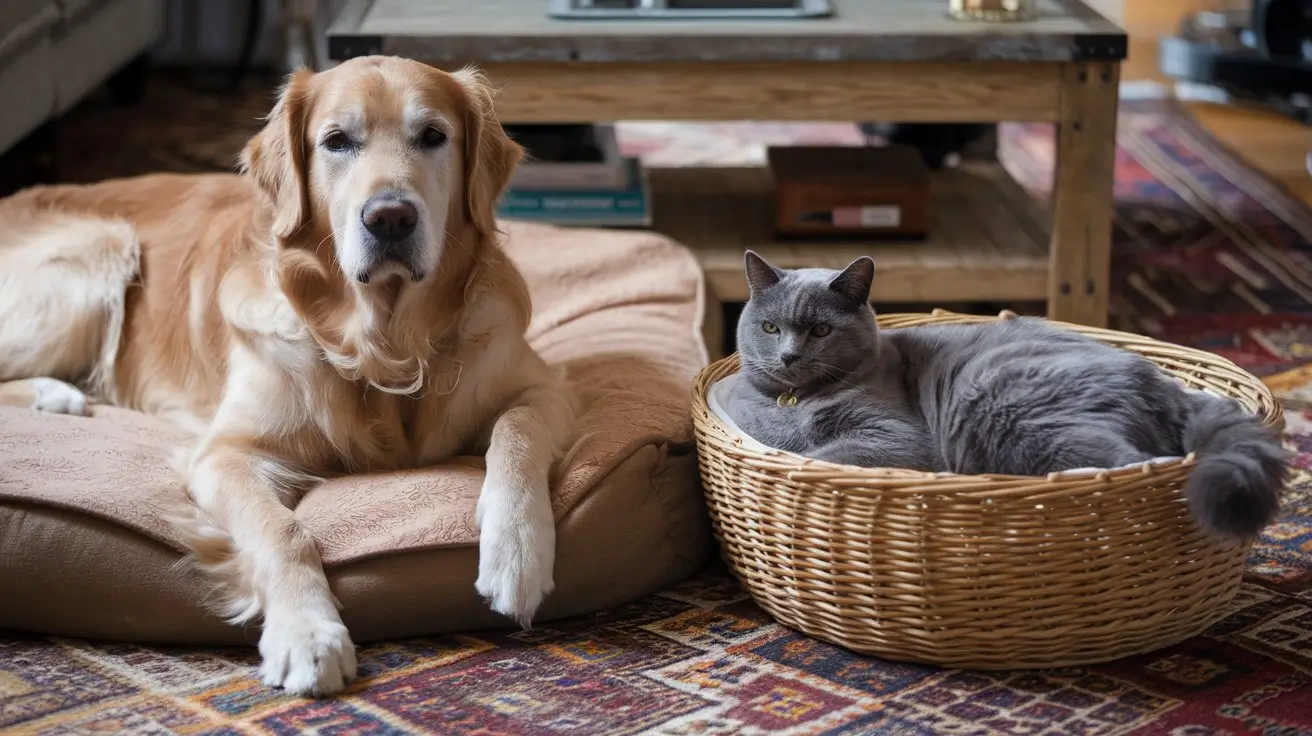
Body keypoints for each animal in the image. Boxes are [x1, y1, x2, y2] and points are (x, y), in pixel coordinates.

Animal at [0, 57, 574, 692]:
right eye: (337, 141)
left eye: (432, 136)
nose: (390, 218)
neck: (382, 345)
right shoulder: (226, 453)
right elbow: (284, 531)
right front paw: (307, 633)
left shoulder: (543, 387)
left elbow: (516, 433)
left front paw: (517, 553)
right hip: (99, 247)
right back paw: (55, 394)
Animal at [729, 251, 1291, 540]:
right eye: (771, 326)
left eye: (821, 330)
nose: (788, 357)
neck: (793, 404)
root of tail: (1165, 386)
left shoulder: (896, 438)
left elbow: (829, 454)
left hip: (1009, 408)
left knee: (1131, 470)